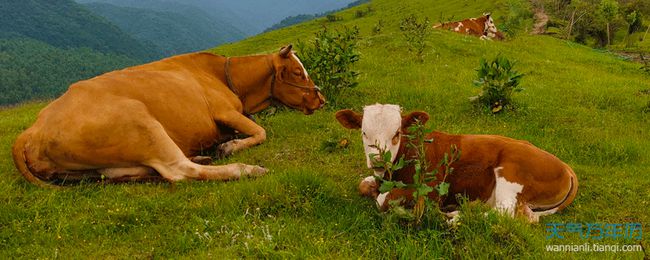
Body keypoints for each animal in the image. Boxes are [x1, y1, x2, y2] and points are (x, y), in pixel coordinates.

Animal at [10, 45, 324, 187]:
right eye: (297, 73)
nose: (321, 98)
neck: (224, 76)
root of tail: (32, 130)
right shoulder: (225, 112)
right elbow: (261, 132)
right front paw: (229, 146)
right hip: (141, 122)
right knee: (179, 171)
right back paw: (246, 169)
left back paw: (202, 155)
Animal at [334, 104, 576, 222]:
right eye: (364, 132)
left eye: (396, 134)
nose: (377, 160)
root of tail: (566, 167)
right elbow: (364, 185)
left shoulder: (431, 189)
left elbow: (383, 200)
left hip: (511, 174)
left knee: (505, 213)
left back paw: (457, 216)